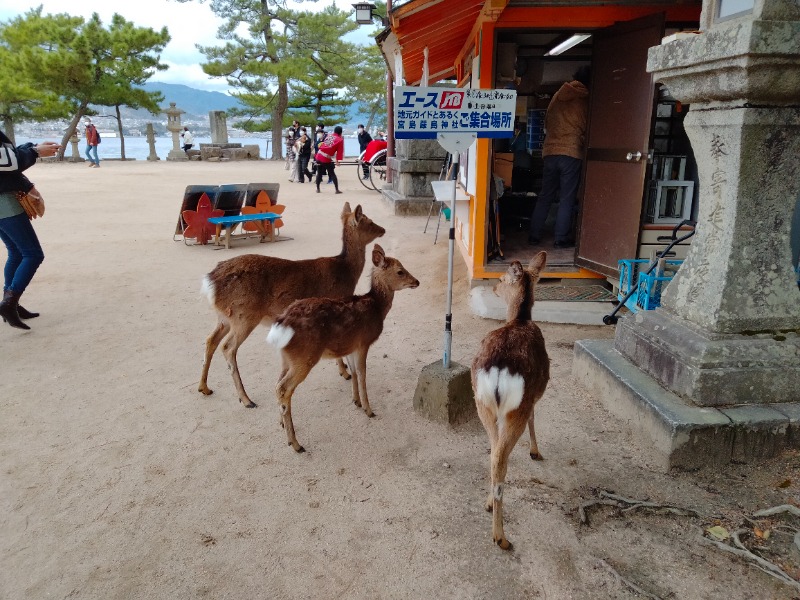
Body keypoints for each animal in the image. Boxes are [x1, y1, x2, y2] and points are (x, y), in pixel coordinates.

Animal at [200, 204, 388, 410]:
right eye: (369, 221)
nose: (383, 229)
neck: (346, 273)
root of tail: (210, 283)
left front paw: (344, 370)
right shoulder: (335, 301)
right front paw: (344, 372)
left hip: (224, 316)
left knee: (210, 340)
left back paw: (204, 387)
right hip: (244, 315)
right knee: (228, 347)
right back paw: (246, 399)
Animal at [268, 243, 422, 450]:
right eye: (400, 271)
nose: (417, 281)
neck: (376, 308)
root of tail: (280, 324)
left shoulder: (351, 345)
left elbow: (354, 372)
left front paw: (356, 401)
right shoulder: (364, 342)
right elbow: (363, 373)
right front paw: (369, 409)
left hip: (286, 358)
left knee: (276, 384)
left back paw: (282, 424)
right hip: (304, 357)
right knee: (283, 388)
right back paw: (295, 443)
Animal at [468, 251, 552, 552]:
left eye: (502, 279)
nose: (494, 287)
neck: (520, 319)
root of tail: (499, 369)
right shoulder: (537, 394)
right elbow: (535, 417)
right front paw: (536, 451)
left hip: (481, 403)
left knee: (493, 453)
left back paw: (489, 506)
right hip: (516, 408)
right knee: (501, 456)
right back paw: (501, 537)